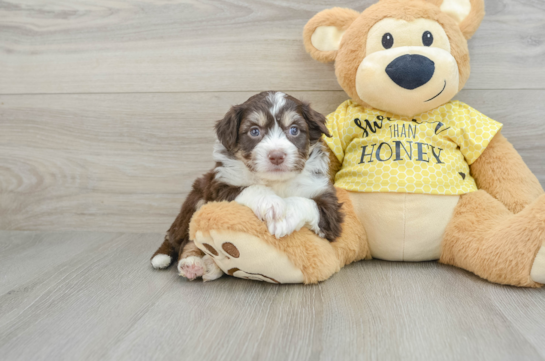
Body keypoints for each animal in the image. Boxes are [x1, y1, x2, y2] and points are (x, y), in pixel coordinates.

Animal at [151, 90, 342, 282]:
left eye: (294, 130)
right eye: (254, 131)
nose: (277, 156)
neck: (276, 181)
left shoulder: (328, 204)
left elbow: (308, 203)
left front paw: (286, 216)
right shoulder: (219, 186)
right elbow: (252, 188)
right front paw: (272, 204)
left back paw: (209, 265)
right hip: (196, 199)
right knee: (184, 240)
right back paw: (191, 263)